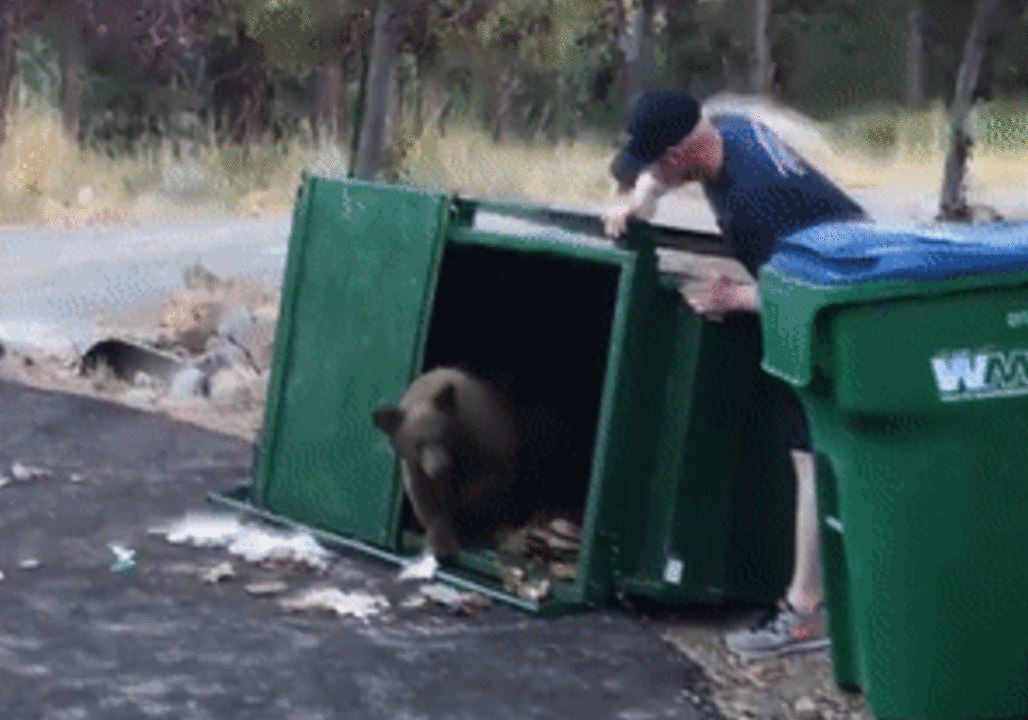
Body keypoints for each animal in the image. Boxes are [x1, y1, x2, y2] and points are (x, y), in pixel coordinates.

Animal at [371, 366, 522, 560]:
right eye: (418, 444)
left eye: (442, 436)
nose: (439, 466)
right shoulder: (416, 467)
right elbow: (425, 498)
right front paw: (442, 542)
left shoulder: (485, 441)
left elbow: (486, 481)